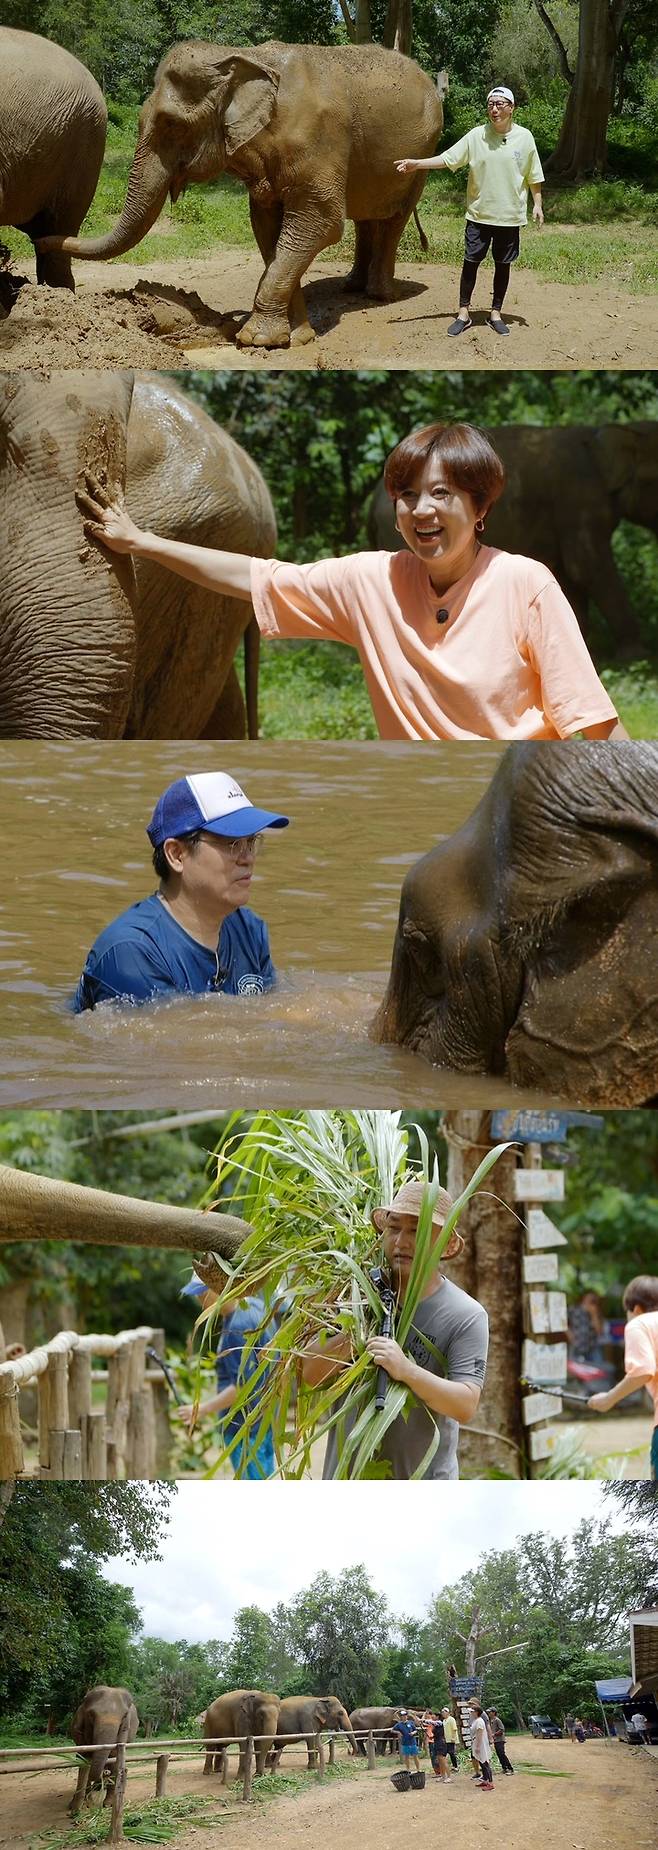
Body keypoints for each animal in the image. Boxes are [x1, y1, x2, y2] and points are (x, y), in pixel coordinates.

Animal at [38, 38, 445, 349]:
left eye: (172, 124)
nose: (41, 238)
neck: (239, 56)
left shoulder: (321, 142)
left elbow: (321, 223)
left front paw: (256, 340)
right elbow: (266, 227)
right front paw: (295, 338)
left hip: (424, 152)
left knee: (394, 217)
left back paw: (380, 295)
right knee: (366, 217)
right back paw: (351, 287)